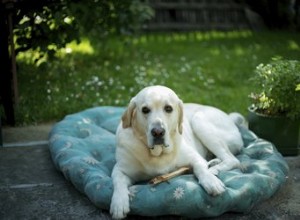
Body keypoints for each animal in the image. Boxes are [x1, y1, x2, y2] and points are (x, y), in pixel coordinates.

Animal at [110, 85, 244, 218]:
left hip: (199, 120)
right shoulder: (120, 169)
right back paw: (213, 163)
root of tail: (229, 117)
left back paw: (213, 169)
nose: (158, 132)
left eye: (168, 108)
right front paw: (118, 203)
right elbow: (118, 181)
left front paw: (210, 181)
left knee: (233, 160)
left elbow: (201, 169)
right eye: (145, 110)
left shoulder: (195, 158)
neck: (158, 154)